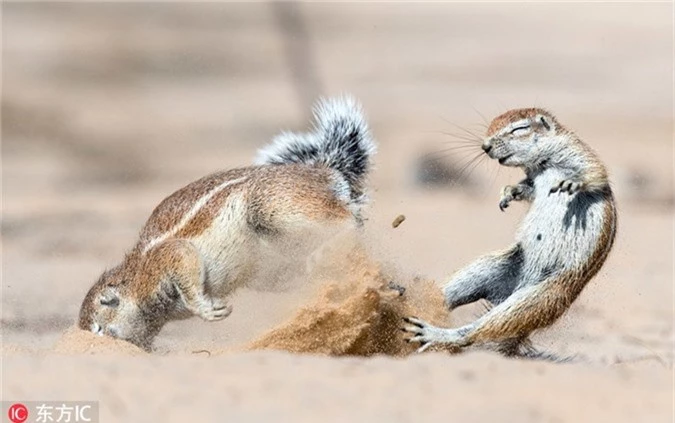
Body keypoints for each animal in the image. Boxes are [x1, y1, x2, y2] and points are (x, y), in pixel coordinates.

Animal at [78, 96, 380, 352]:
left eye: (98, 328)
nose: (93, 345)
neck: (134, 279)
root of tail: (323, 171)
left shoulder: (165, 261)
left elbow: (184, 265)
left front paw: (207, 310)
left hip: (272, 206)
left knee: (347, 220)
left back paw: (328, 249)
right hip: (271, 267)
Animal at [404, 107, 620, 358]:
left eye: (519, 129)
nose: (485, 146)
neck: (543, 165)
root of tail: (510, 291)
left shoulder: (578, 152)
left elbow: (596, 174)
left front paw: (572, 184)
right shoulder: (533, 178)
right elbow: (528, 188)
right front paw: (508, 193)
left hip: (540, 298)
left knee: (479, 330)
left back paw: (435, 333)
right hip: (487, 268)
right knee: (449, 296)